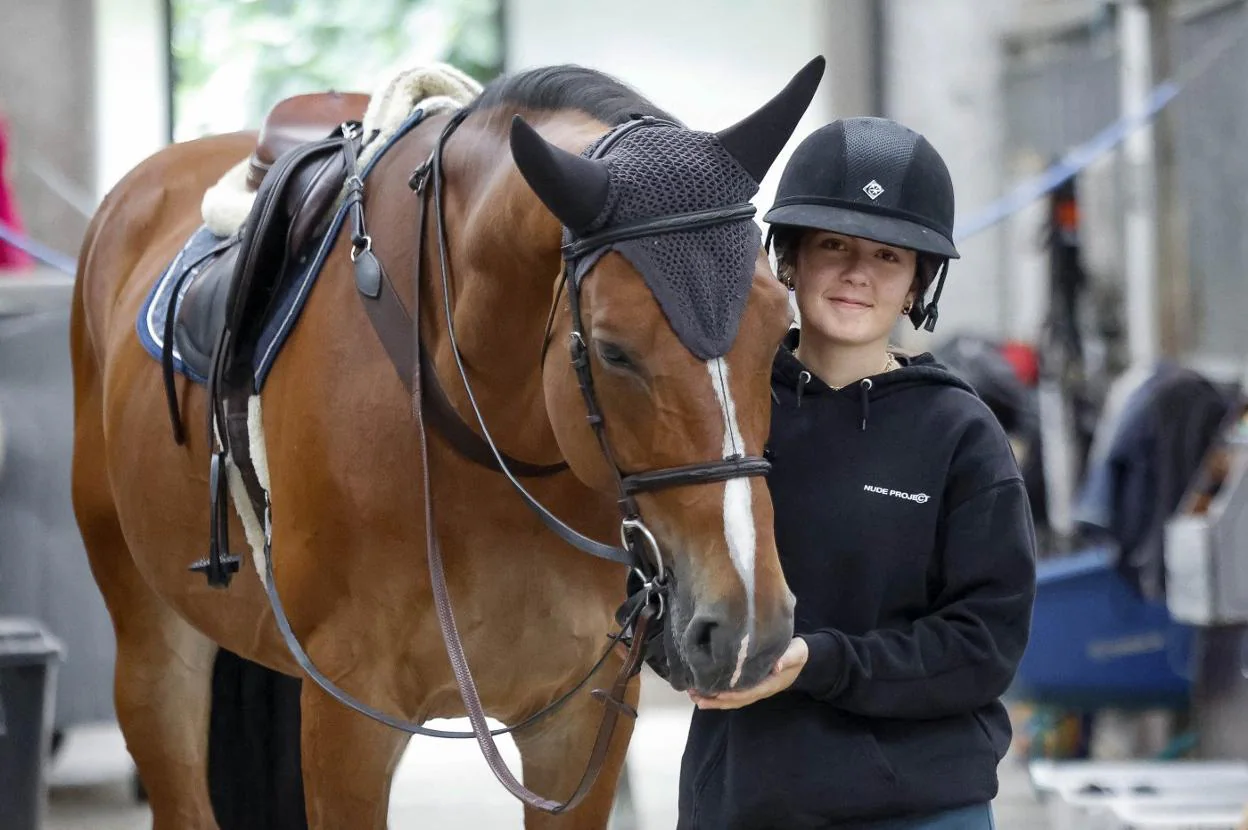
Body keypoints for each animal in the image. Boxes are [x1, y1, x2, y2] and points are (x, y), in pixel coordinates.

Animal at [73, 59, 823, 828]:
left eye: (781, 333)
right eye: (614, 352)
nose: (748, 631)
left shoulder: (579, 718)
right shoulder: (349, 713)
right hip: (154, 644)